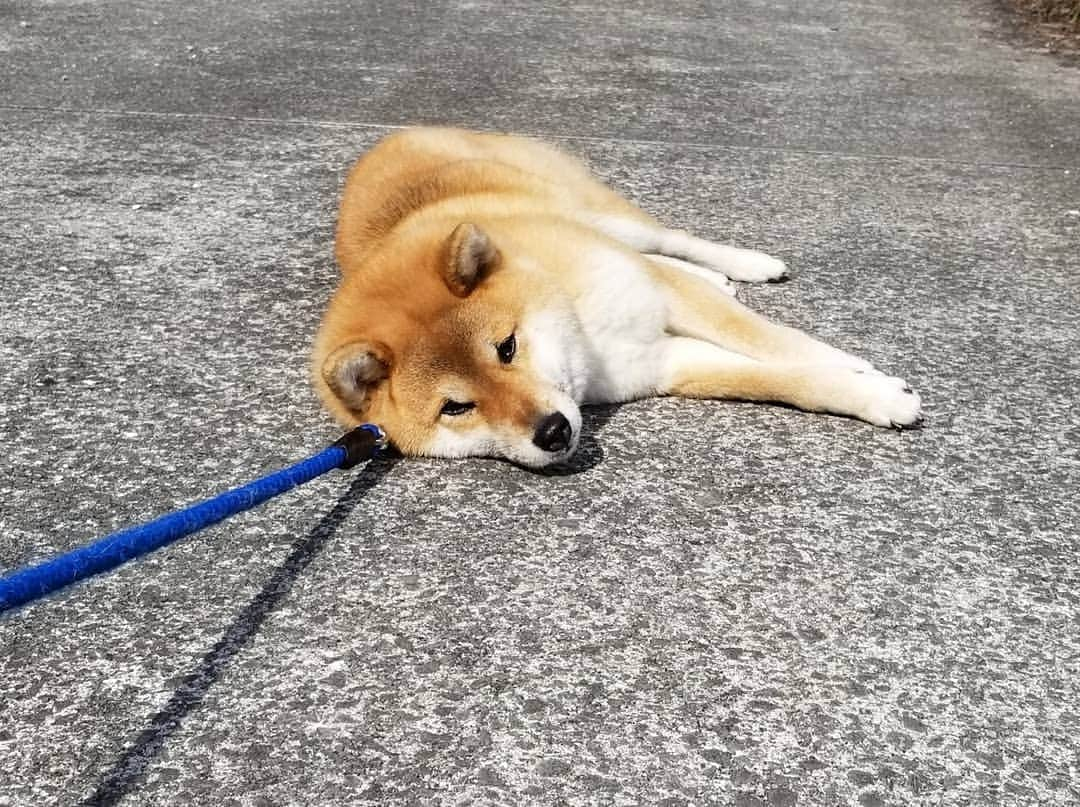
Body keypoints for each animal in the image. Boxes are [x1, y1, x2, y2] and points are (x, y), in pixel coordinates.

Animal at [313, 126, 920, 466]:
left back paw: (748, 264)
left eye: (506, 348)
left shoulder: (660, 297)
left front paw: (857, 368)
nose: (553, 432)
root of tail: (389, 137)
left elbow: (773, 341)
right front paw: (872, 395)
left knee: (668, 241)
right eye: (455, 408)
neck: (584, 338)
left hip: (596, 210)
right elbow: (782, 381)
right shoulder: (661, 362)